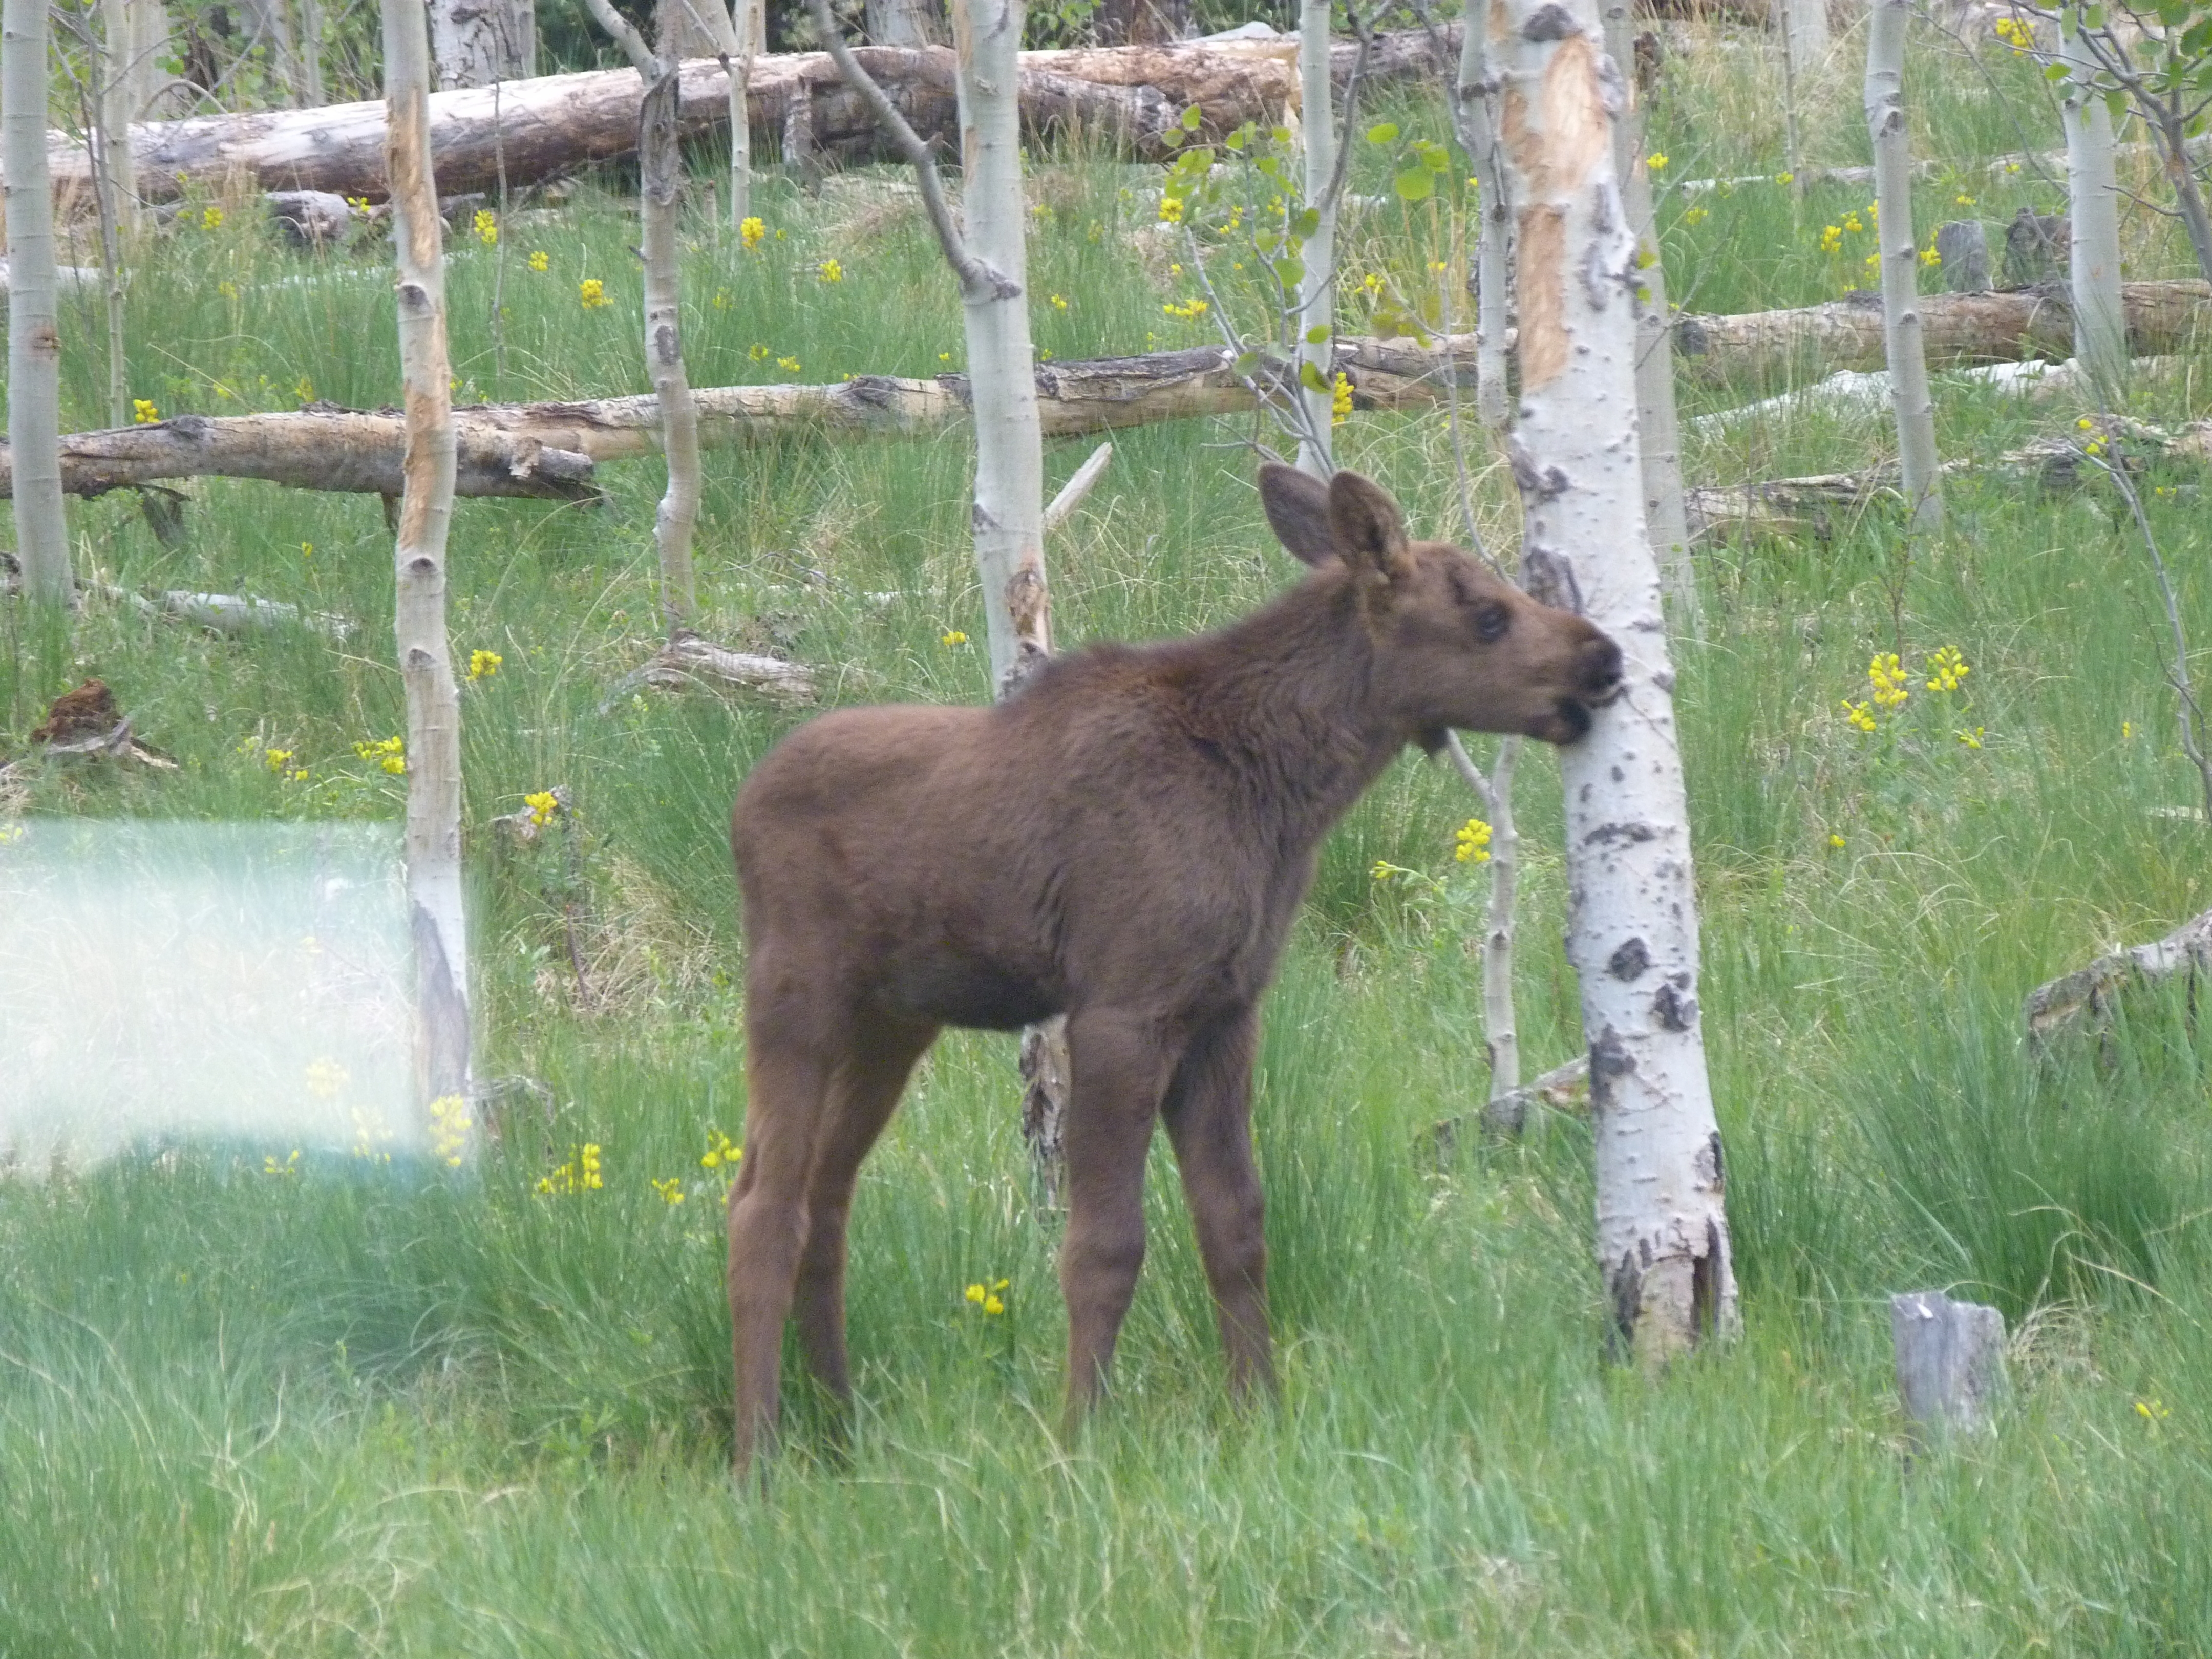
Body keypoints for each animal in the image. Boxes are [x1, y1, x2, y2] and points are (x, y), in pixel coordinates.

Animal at [725, 464, 1623, 1472]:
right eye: (1488, 615)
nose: (1605, 659)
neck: (1281, 797)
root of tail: (739, 809)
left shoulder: (1226, 1011)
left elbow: (1236, 1225)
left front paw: (1260, 1411)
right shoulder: (1126, 1007)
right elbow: (1105, 1246)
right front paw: (1079, 1436)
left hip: (894, 1021)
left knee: (825, 1201)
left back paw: (841, 1433)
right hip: (796, 996)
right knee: (759, 1208)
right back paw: (760, 1458)